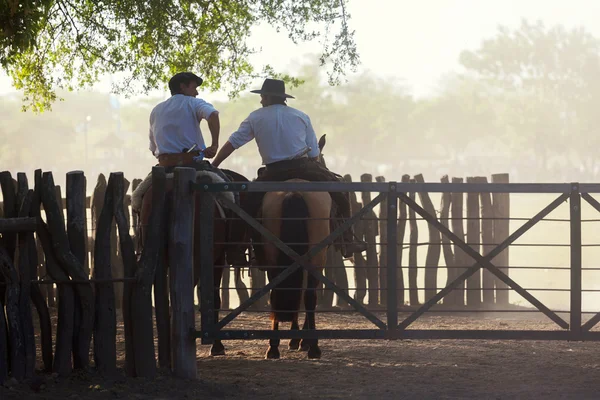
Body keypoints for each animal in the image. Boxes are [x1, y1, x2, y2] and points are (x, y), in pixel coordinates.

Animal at [255, 135, 332, 360]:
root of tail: (294, 192)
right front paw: (300, 340)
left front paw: (295, 339)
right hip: (315, 257)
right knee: (309, 295)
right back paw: (312, 346)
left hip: (274, 254)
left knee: (279, 291)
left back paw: (273, 347)